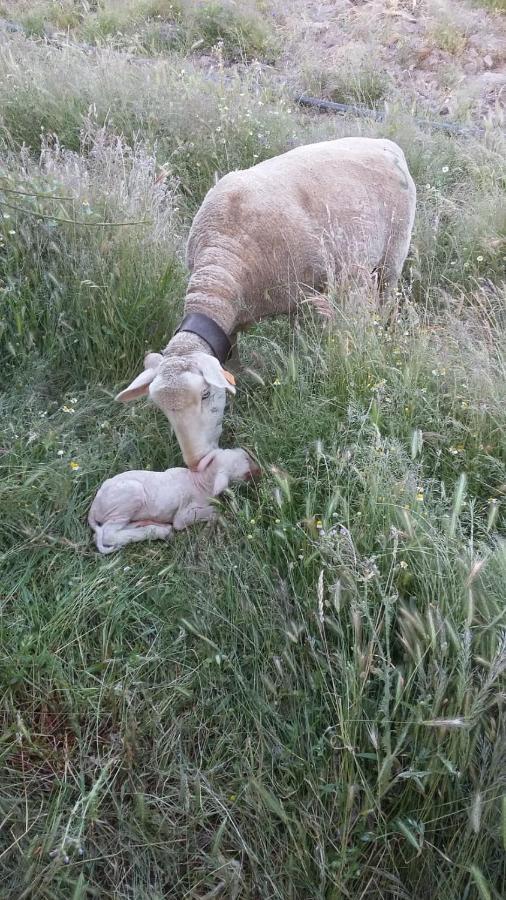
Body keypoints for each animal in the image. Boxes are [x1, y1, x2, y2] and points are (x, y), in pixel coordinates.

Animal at [87, 446, 258, 552]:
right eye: (246, 471)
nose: (260, 471)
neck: (201, 481)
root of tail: (94, 506)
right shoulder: (183, 516)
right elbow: (214, 510)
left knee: (103, 533)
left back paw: (153, 527)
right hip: (126, 500)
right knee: (107, 534)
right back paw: (159, 532)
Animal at [115, 139, 416, 472]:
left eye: (205, 394)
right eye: (161, 408)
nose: (197, 463)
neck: (220, 267)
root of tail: (385, 143)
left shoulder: (298, 293)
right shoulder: (235, 323)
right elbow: (233, 365)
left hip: (394, 255)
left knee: (386, 299)